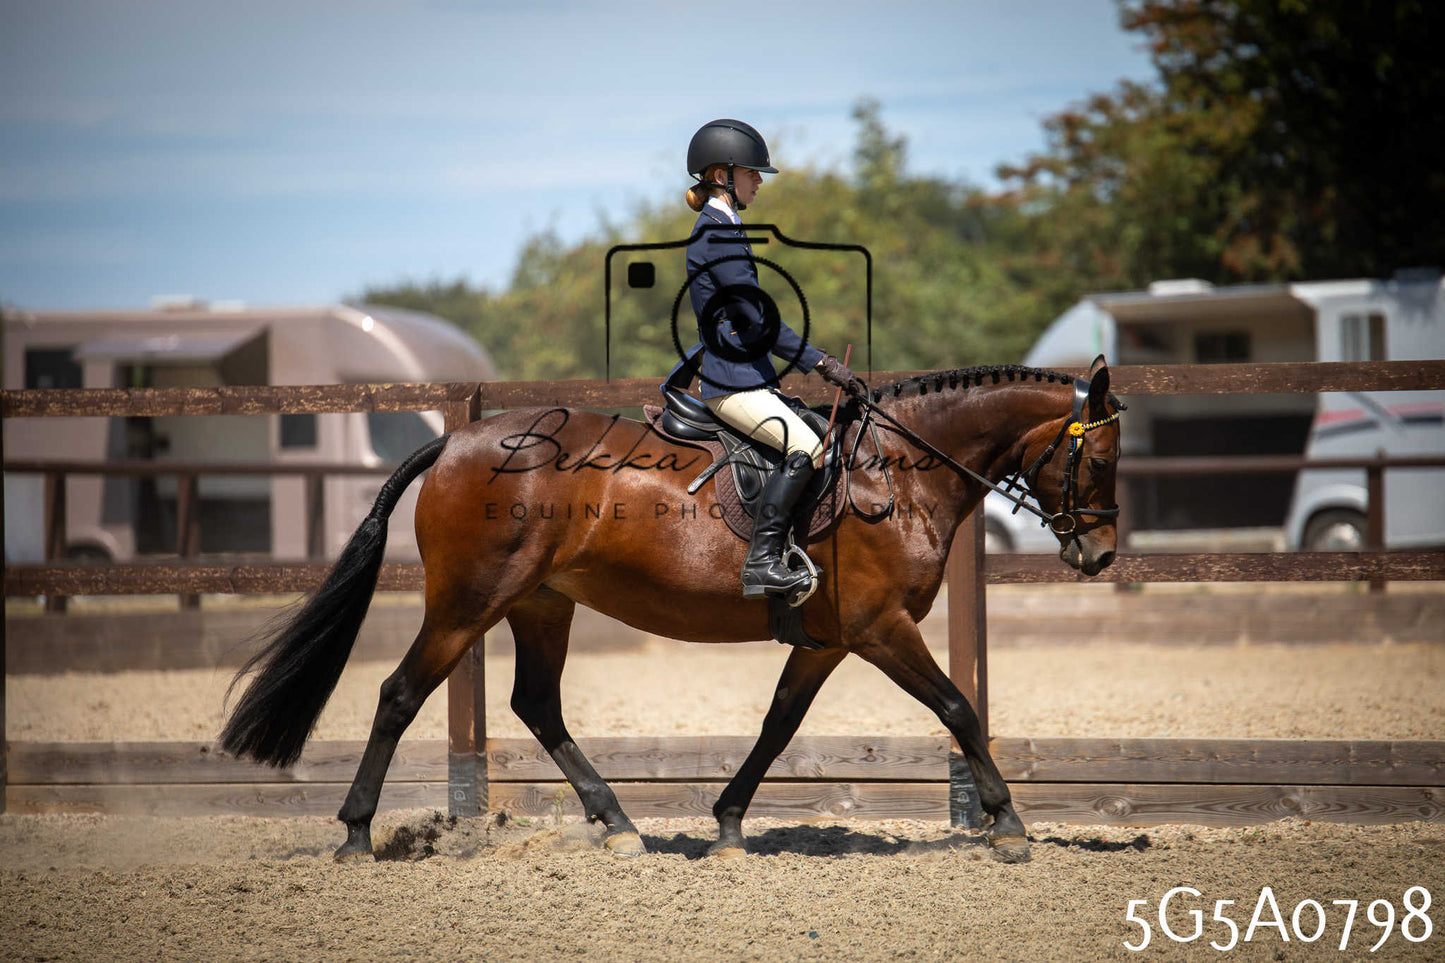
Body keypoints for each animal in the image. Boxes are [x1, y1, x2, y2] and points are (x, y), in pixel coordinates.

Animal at [220, 356, 1124, 865]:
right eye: (1102, 457)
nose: (1101, 555)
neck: (893, 471)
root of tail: (457, 441)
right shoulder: (879, 628)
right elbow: (958, 707)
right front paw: (1008, 824)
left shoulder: (828, 638)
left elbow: (778, 722)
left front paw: (726, 824)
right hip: (468, 602)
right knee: (400, 695)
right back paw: (355, 834)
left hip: (540, 602)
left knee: (536, 704)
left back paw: (620, 824)